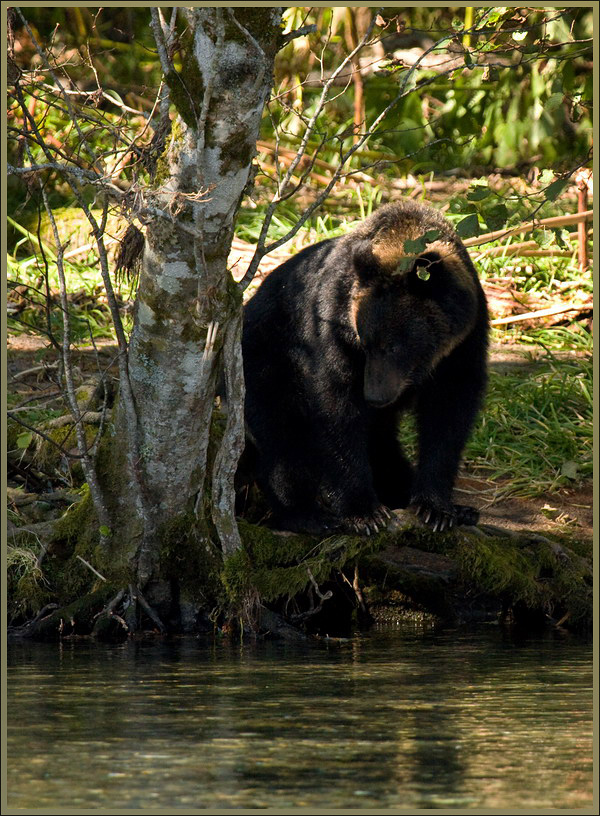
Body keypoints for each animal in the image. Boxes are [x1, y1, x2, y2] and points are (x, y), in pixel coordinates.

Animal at [240, 200, 488, 536]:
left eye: (395, 345)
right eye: (366, 343)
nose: (374, 395)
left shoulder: (464, 343)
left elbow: (448, 415)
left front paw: (437, 508)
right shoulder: (330, 328)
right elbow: (336, 409)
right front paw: (365, 513)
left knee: (382, 443)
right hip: (265, 360)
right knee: (281, 435)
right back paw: (307, 513)